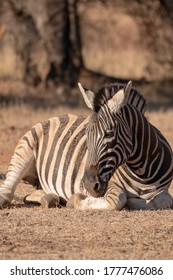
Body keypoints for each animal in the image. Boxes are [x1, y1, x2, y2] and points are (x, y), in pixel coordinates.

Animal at [0, 81, 172, 210]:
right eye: (87, 134)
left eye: (109, 134)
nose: (89, 185)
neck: (142, 172)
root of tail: (55, 116)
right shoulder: (111, 186)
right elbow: (118, 199)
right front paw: (75, 199)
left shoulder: (163, 191)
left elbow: (163, 201)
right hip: (23, 151)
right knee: (8, 189)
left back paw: (50, 198)